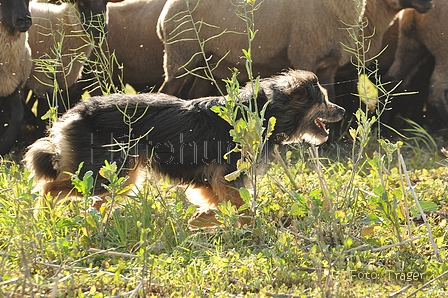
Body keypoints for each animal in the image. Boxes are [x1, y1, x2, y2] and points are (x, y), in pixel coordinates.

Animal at [24, 70, 344, 227]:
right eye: (323, 100)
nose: (341, 110)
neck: (262, 110)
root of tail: (73, 113)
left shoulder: (212, 181)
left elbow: (225, 205)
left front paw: (204, 219)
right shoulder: (226, 176)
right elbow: (244, 209)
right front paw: (214, 221)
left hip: (117, 176)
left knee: (91, 200)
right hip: (110, 172)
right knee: (49, 188)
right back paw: (45, 219)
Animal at [158, 0, 434, 100]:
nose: (430, 3)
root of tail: (164, 16)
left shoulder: (329, 65)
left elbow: (332, 98)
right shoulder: (306, 56)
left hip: (207, 62)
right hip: (181, 55)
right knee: (167, 90)